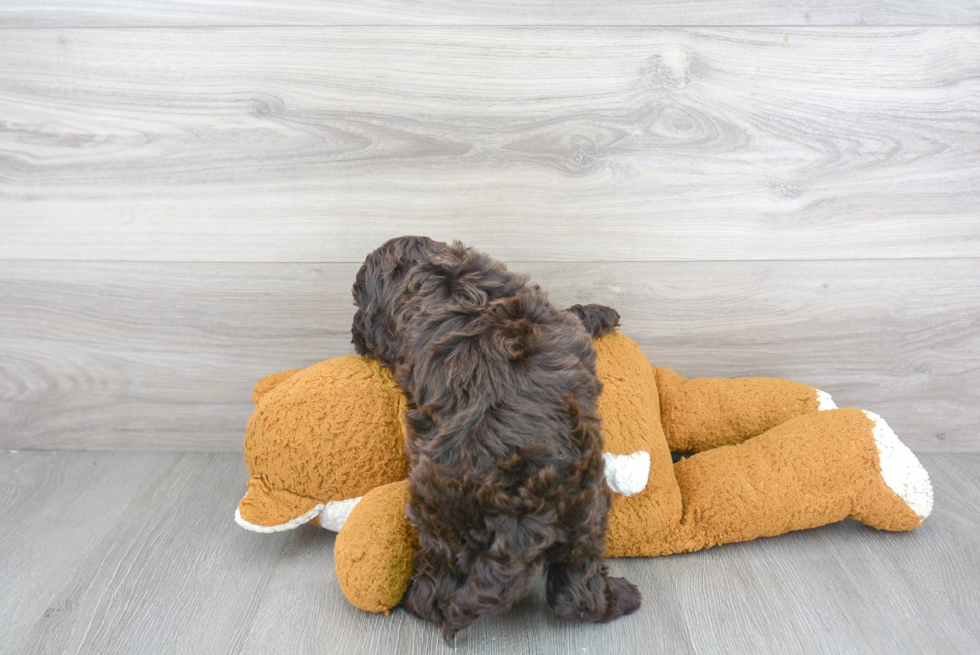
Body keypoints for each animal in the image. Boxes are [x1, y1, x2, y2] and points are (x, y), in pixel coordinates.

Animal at [352, 236, 644, 640]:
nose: (354, 334)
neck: (434, 275)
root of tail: (517, 517)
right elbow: (578, 314)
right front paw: (606, 312)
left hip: (475, 524)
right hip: (584, 510)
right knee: (573, 592)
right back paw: (622, 598)